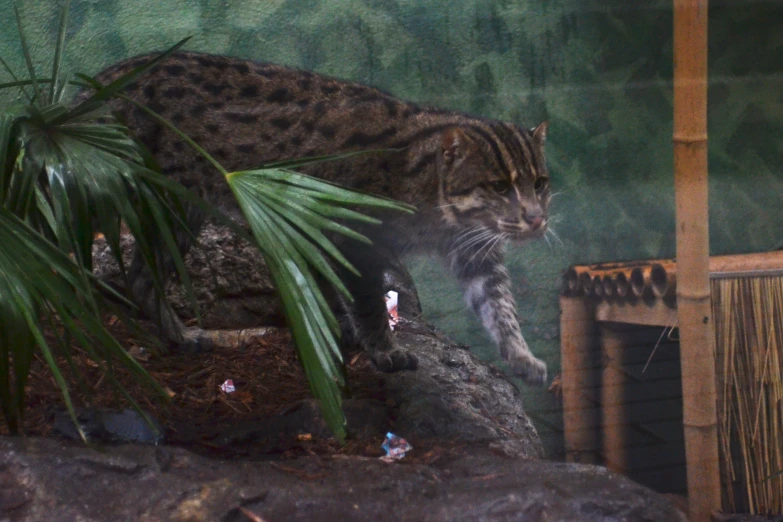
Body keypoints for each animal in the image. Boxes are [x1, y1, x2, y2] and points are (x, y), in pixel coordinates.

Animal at [87, 51, 552, 386]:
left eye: (540, 182)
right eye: (499, 186)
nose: (536, 219)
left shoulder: (471, 249)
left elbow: (497, 300)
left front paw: (521, 355)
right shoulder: (357, 238)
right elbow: (365, 299)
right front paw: (383, 349)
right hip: (174, 204)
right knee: (140, 277)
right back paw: (182, 336)